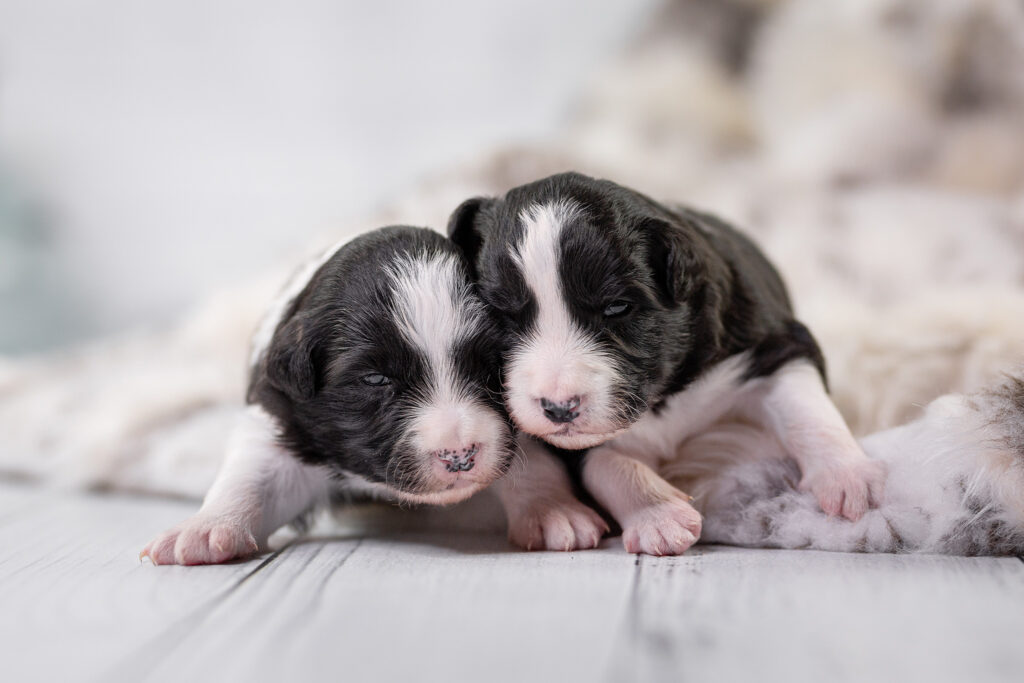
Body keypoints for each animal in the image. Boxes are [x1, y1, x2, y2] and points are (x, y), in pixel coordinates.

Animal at [142, 228, 512, 565]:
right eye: (375, 379)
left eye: (490, 365)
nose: (460, 456)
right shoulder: (283, 425)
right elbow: (251, 478)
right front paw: (203, 530)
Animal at [452, 171, 884, 557]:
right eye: (501, 315)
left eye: (617, 307)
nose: (559, 408)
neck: (663, 397)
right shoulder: (576, 443)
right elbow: (607, 464)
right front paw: (659, 518)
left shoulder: (774, 345)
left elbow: (807, 409)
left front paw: (849, 477)